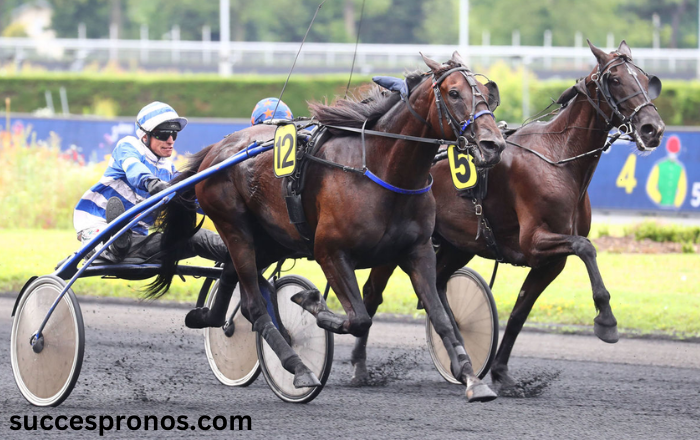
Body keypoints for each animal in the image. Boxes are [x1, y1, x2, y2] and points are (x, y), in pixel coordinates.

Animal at [149, 52, 508, 402]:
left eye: (486, 93)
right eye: (454, 93)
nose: (493, 144)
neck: (381, 170)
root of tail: (217, 149)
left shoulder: (417, 251)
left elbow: (441, 317)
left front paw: (472, 378)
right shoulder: (330, 251)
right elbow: (359, 318)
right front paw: (312, 303)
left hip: (272, 238)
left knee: (230, 274)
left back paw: (208, 318)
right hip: (234, 227)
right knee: (253, 305)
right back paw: (298, 368)